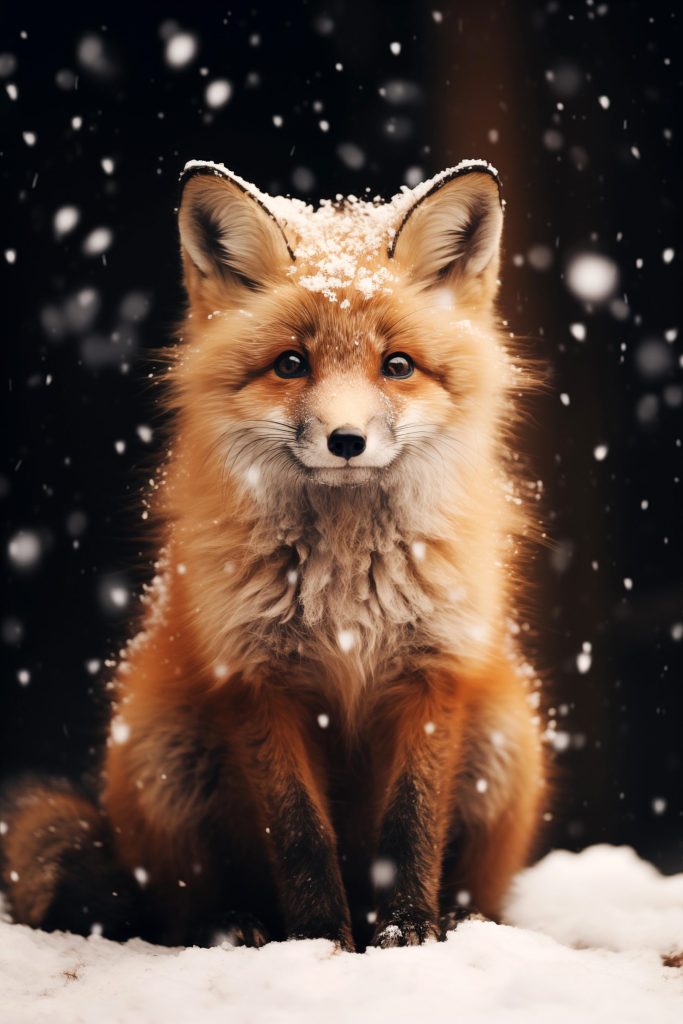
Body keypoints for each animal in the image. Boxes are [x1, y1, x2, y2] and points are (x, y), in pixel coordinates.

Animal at [1, 159, 545, 951]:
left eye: (397, 365)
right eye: (291, 364)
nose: (346, 440)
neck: (348, 586)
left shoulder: (434, 670)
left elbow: (410, 826)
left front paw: (407, 934)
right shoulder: (256, 678)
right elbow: (300, 835)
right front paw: (319, 940)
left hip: (506, 738)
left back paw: (465, 920)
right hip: (166, 754)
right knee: (173, 907)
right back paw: (230, 924)